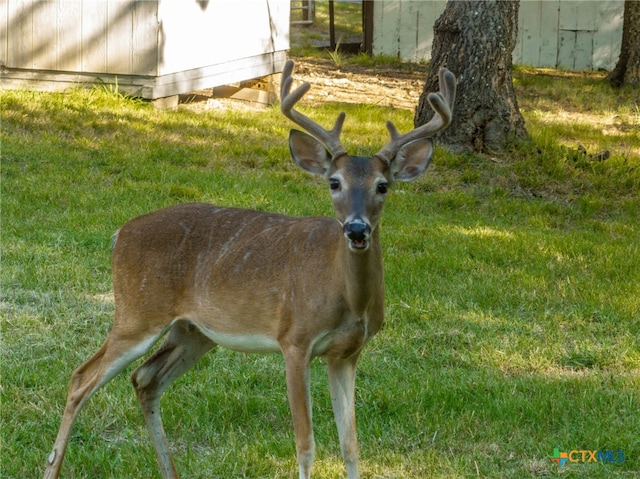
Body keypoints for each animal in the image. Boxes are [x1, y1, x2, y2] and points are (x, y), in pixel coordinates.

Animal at [43, 60, 456, 479]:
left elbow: (351, 445)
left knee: (145, 379)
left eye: (383, 185)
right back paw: (53, 466)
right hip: (138, 310)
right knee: (81, 378)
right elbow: (305, 445)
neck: (346, 296)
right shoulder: (295, 339)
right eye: (334, 182)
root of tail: (120, 233)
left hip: (193, 330)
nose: (356, 229)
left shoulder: (346, 352)